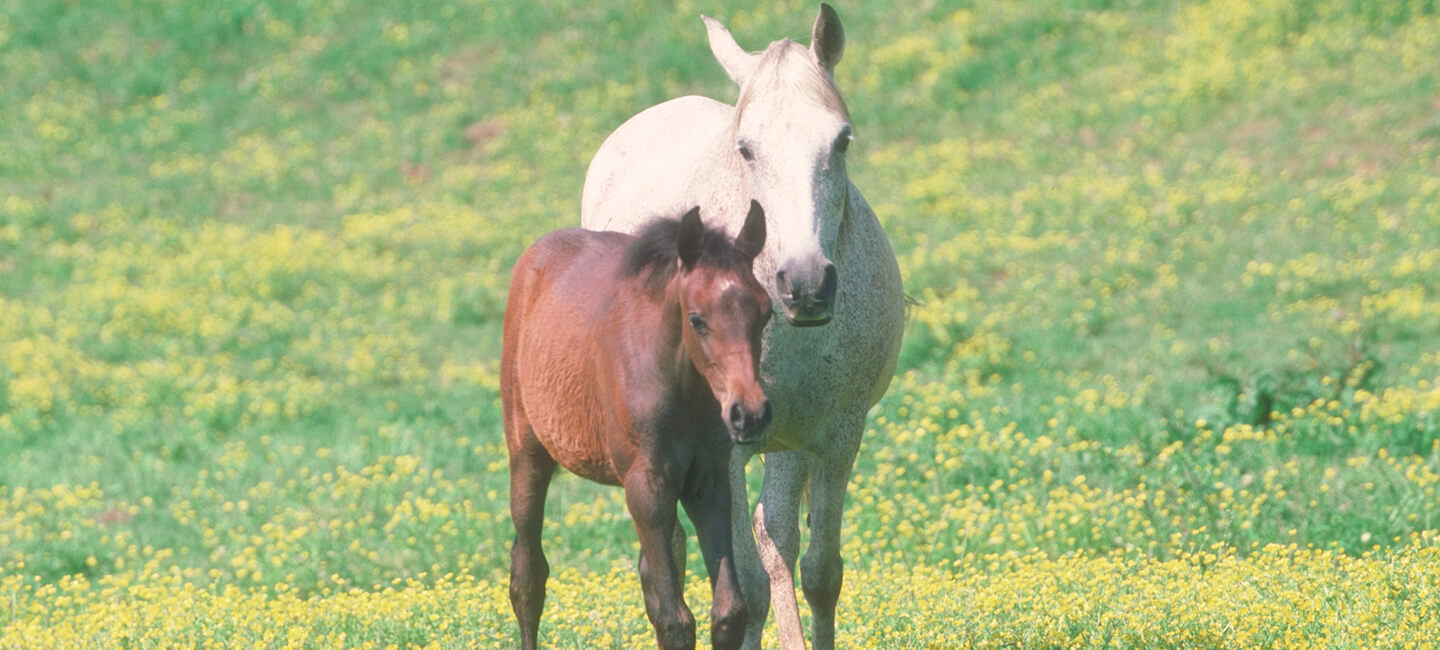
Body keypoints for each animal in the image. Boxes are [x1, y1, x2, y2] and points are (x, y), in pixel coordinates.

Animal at [581, 3, 898, 645]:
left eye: (842, 140)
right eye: (747, 149)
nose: (805, 282)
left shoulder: (835, 436)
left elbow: (818, 571)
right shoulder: (722, 451)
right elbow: (743, 588)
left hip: (784, 444)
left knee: (773, 539)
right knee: (676, 552)